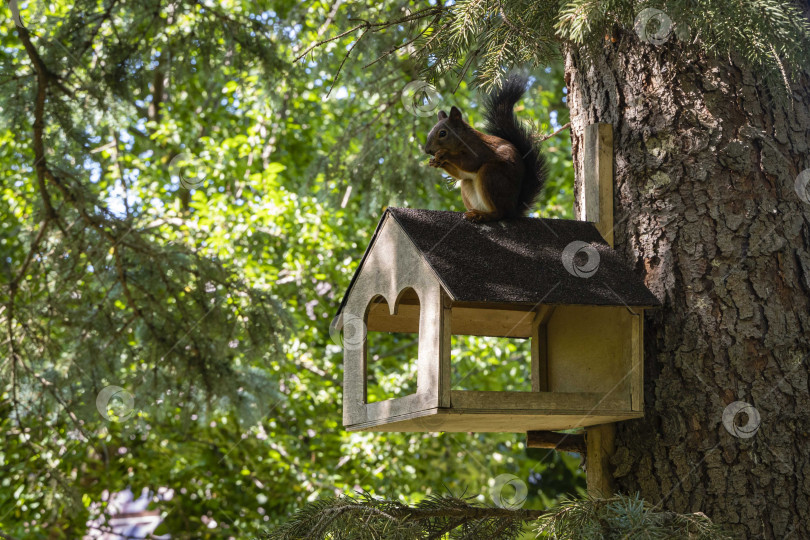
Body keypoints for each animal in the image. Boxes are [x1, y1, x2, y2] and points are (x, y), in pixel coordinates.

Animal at [420, 74, 548, 221]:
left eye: (442, 133)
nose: (427, 150)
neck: (463, 141)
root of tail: (512, 210)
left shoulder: (480, 150)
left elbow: (470, 162)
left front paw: (443, 154)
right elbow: (460, 174)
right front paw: (436, 162)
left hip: (491, 175)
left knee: (499, 213)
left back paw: (482, 215)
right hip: (468, 185)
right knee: (466, 181)